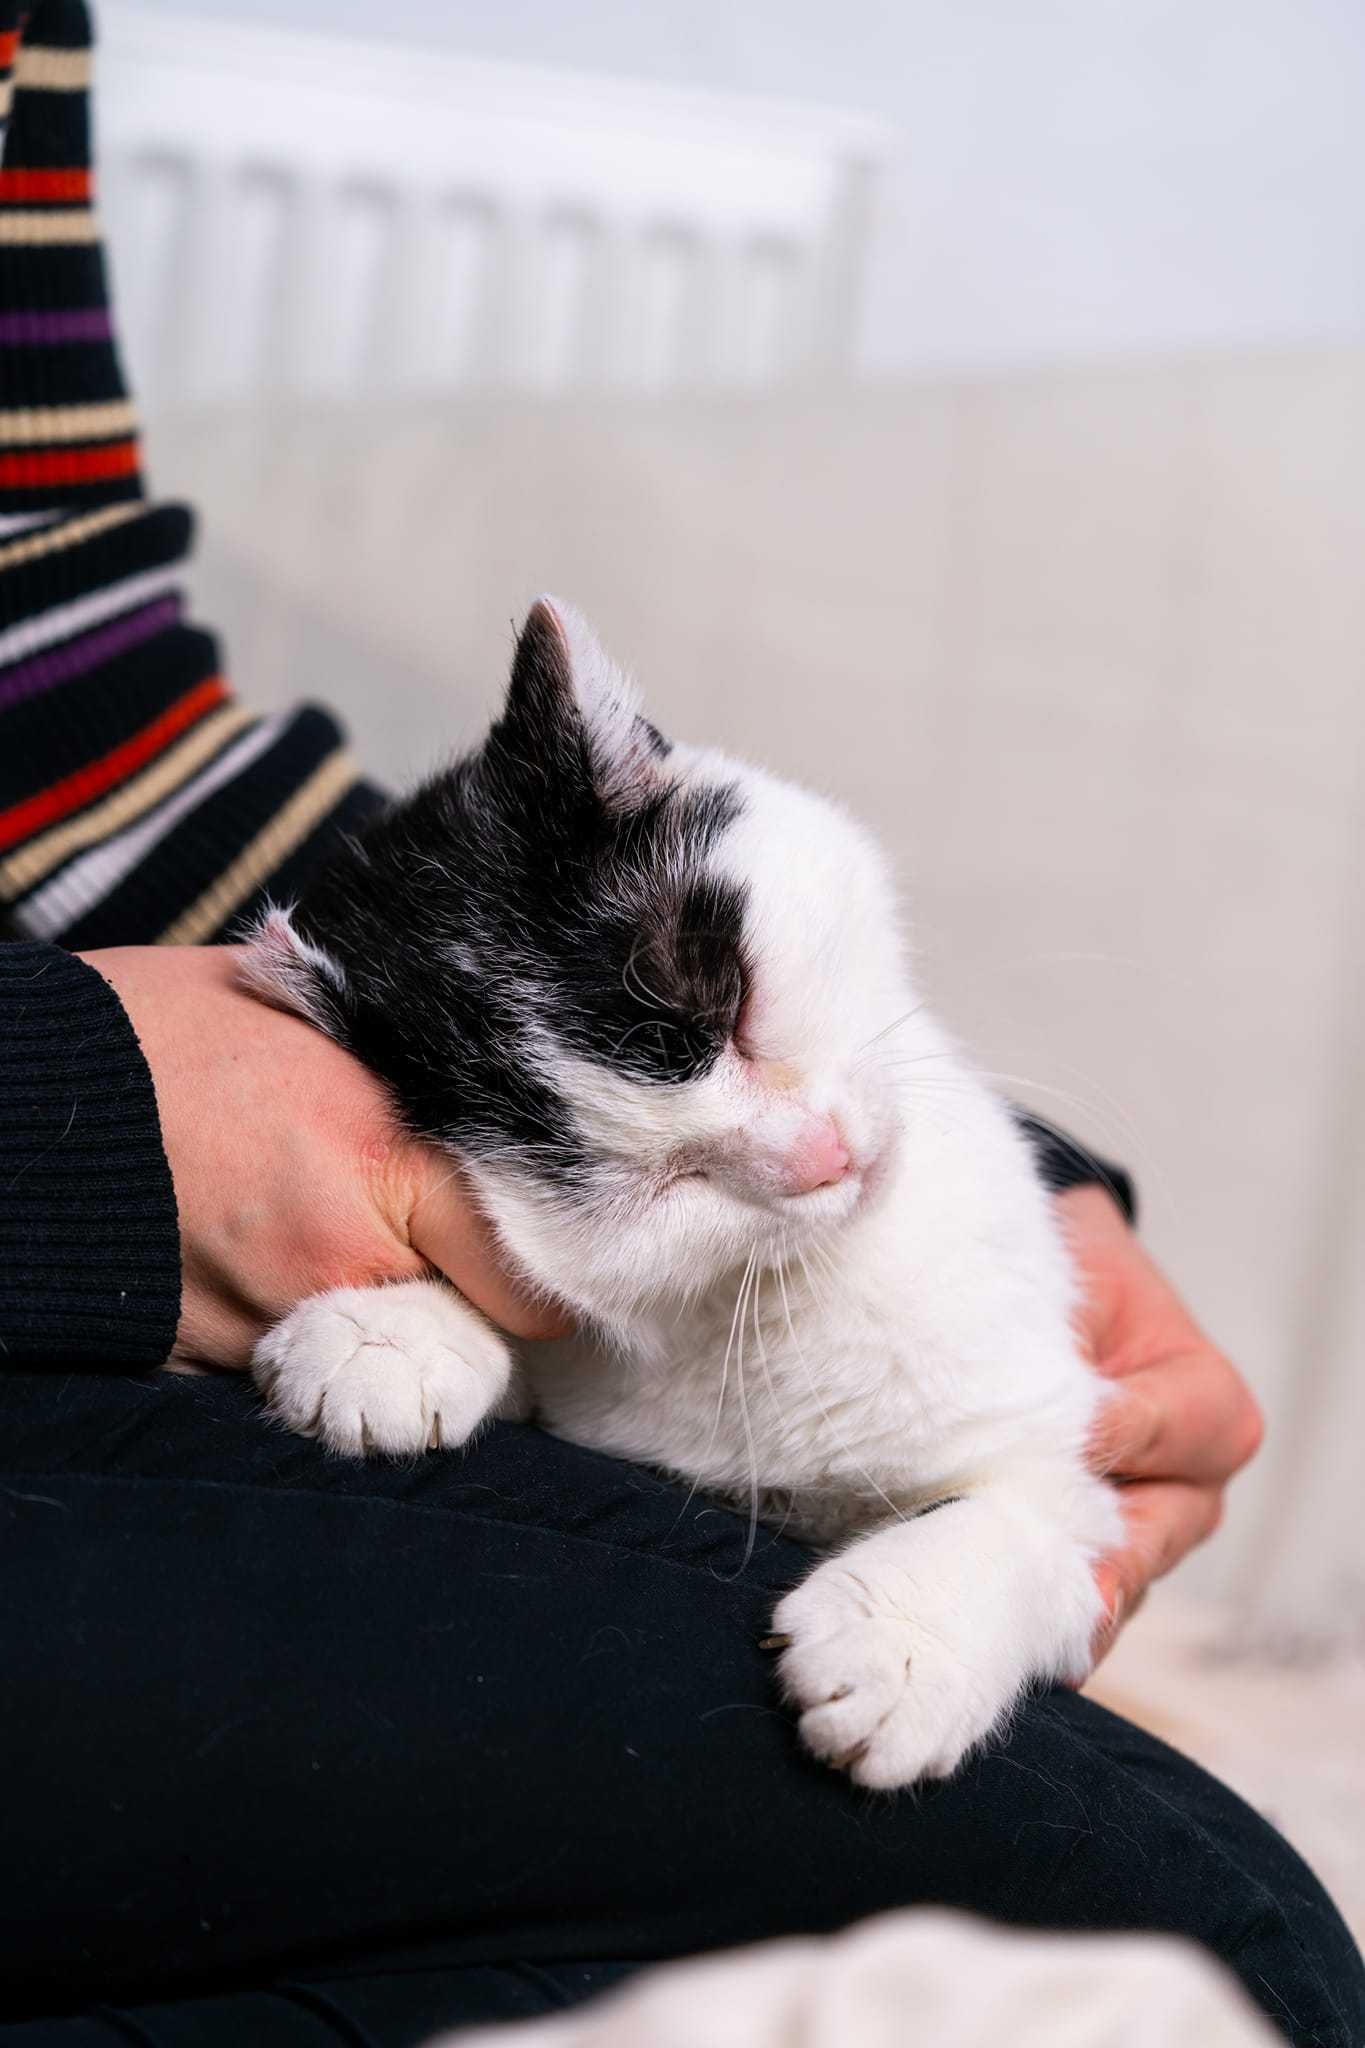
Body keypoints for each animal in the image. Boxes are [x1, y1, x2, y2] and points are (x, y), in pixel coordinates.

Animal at [242, 598, 1121, 1785]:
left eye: (736, 1003)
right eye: (656, 1185)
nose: (817, 1157)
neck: (791, 1292)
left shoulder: (1058, 1472)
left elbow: (1017, 1520)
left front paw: (898, 1646)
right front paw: (393, 1332)